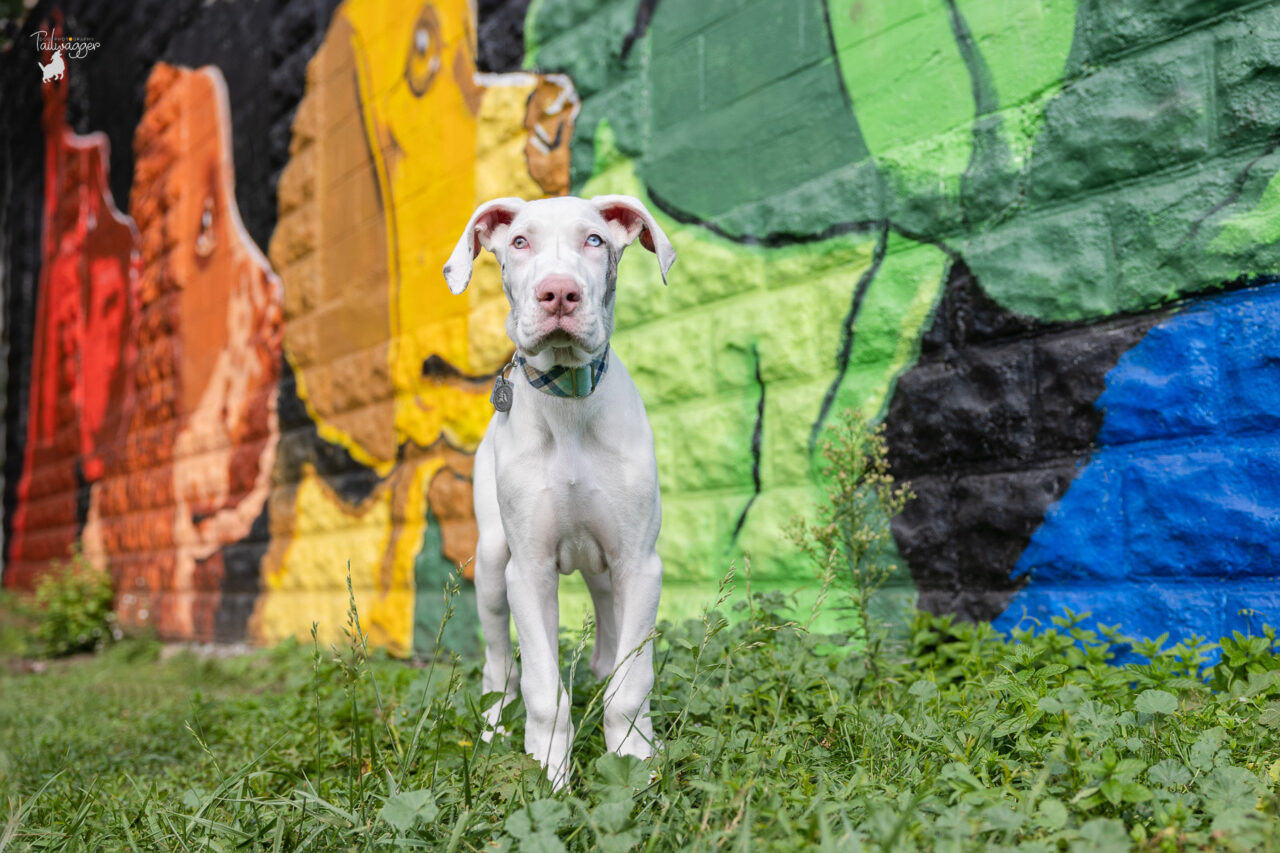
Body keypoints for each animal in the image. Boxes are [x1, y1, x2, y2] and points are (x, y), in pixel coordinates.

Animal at [442, 192, 675, 783]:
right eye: (520, 242)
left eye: (594, 240)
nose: (559, 293)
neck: (568, 399)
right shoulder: (528, 571)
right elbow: (544, 691)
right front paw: (548, 771)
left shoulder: (639, 565)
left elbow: (630, 684)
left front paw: (633, 760)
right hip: (492, 566)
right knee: (498, 667)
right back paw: (493, 731)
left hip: (606, 573)